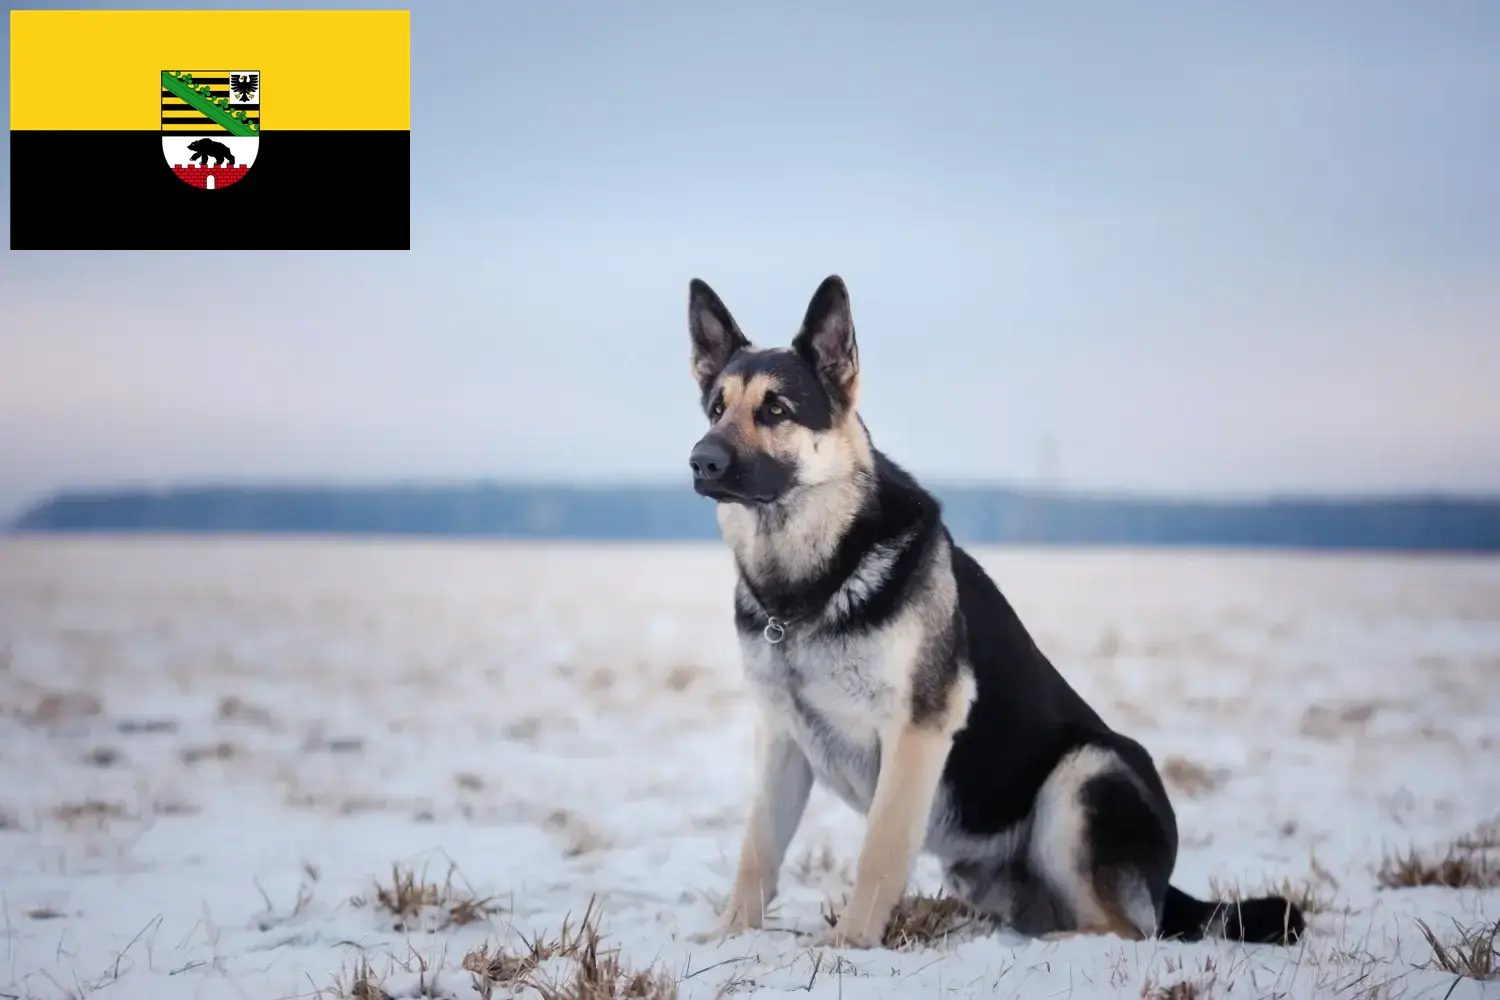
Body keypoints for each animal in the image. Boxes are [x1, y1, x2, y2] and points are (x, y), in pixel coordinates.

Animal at [681, 277, 1302, 953]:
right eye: (715, 409)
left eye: (776, 410)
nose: (701, 461)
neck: (808, 586)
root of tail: (1167, 886)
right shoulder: (782, 739)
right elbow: (757, 852)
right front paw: (729, 935)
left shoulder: (918, 730)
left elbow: (880, 851)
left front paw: (850, 944)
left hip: (1084, 772)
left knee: (1128, 930)